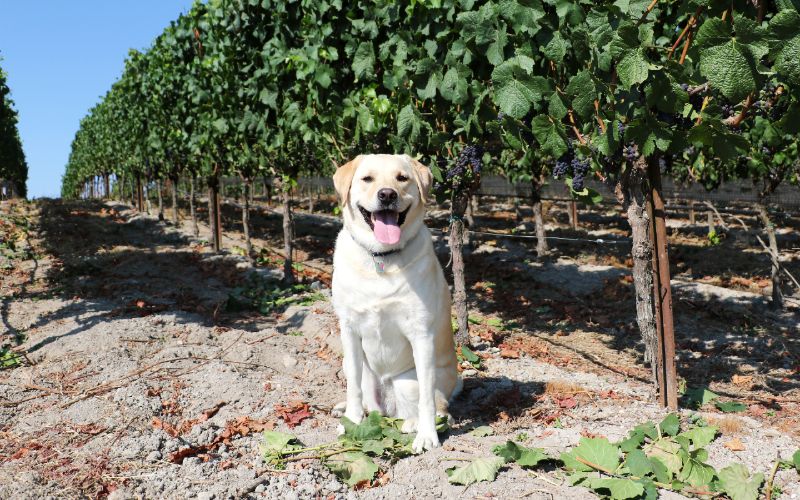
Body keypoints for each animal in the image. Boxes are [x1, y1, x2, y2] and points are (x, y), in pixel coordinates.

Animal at [328, 153, 460, 454]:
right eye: (367, 179)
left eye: (402, 178)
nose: (387, 194)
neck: (381, 257)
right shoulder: (349, 329)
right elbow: (353, 387)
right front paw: (351, 422)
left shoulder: (421, 334)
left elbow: (427, 398)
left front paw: (427, 435)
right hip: (354, 365)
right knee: (367, 398)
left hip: (408, 381)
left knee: (438, 407)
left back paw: (413, 424)